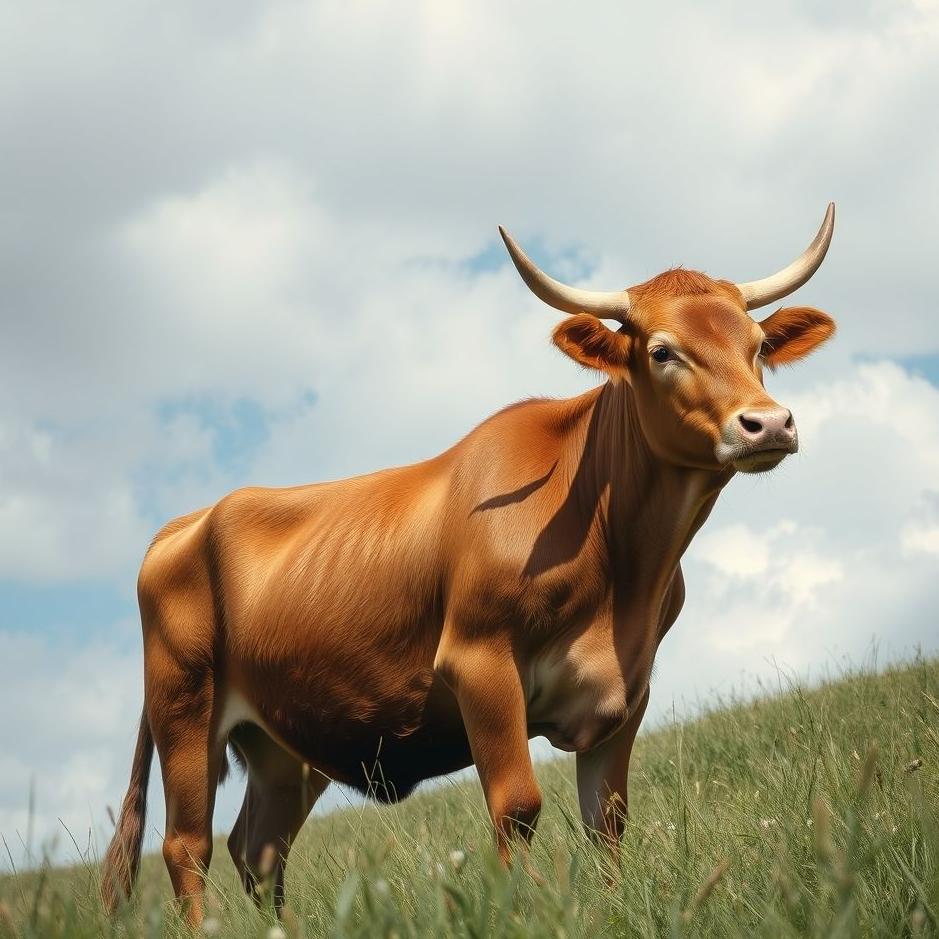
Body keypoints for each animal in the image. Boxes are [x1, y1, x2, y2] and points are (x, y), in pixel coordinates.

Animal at [101, 206, 836, 925]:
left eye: (758, 346)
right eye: (661, 351)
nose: (768, 424)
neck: (621, 571)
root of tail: (187, 522)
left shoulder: (628, 686)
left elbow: (607, 819)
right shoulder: (479, 662)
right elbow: (517, 806)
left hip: (279, 740)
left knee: (258, 846)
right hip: (184, 707)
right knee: (187, 846)